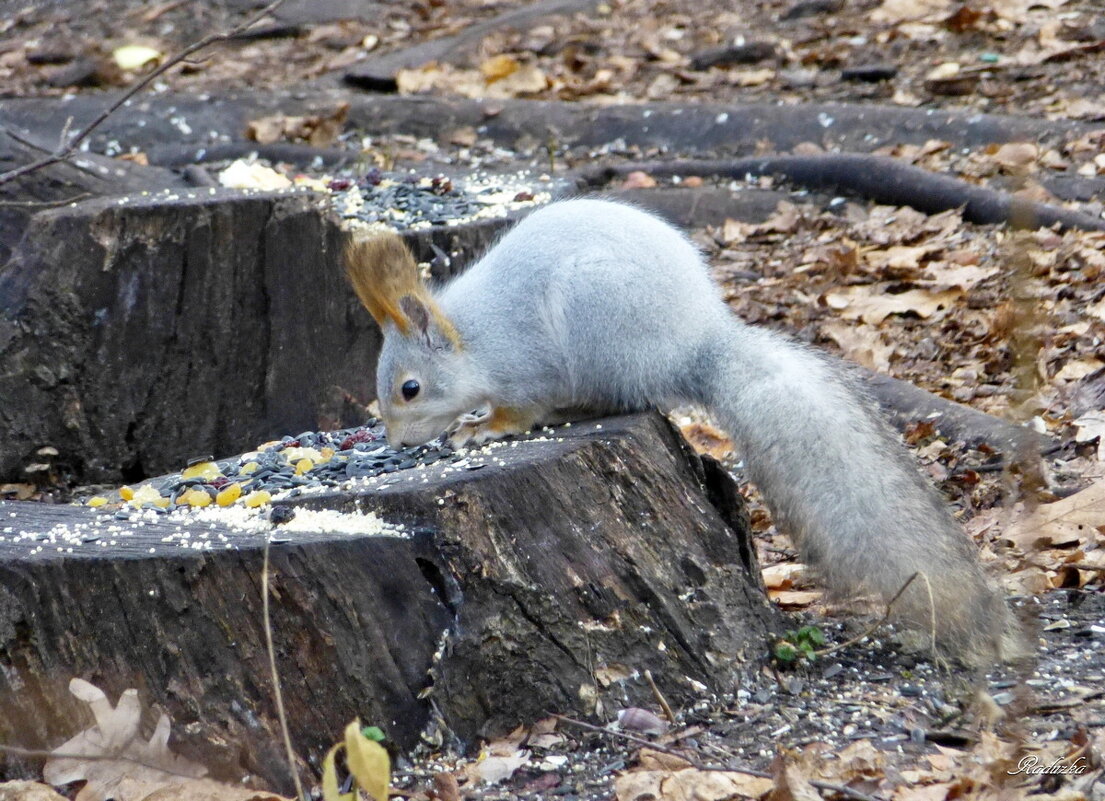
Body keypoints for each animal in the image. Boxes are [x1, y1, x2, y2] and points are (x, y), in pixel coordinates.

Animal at [344, 196, 1025, 667]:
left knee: (618, 395)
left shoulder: (526, 367)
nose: (397, 445)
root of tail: (693, 348)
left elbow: (521, 409)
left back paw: (573, 409)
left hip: (598, 323)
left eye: (409, 389)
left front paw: (481, 427)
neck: (476, 342)